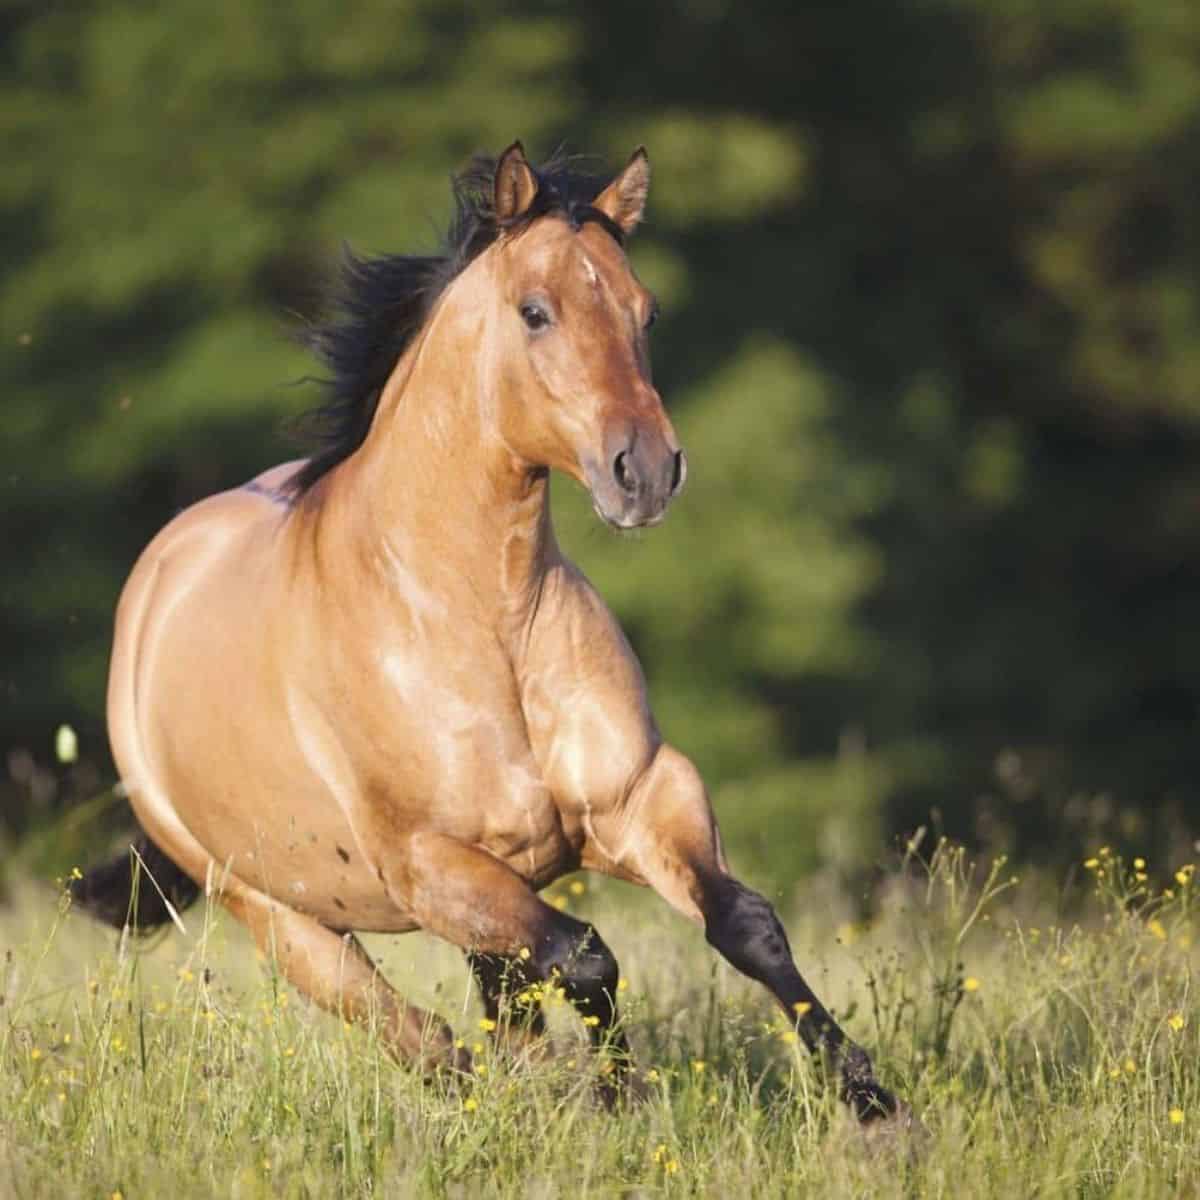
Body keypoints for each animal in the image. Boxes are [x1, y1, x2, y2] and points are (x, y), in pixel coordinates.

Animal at [72, 142, 902, 1123]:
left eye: (645, 309)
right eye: (534, 311)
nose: (646, 472)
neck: (482, 621)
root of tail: (157, 580)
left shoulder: (640, 798)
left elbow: (747, 924)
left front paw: (875, 1104)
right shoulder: (430, 866)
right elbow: (588, 957)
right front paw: (620, 1101)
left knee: (494, 1014)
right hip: (280, 915)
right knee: (427, 1040)